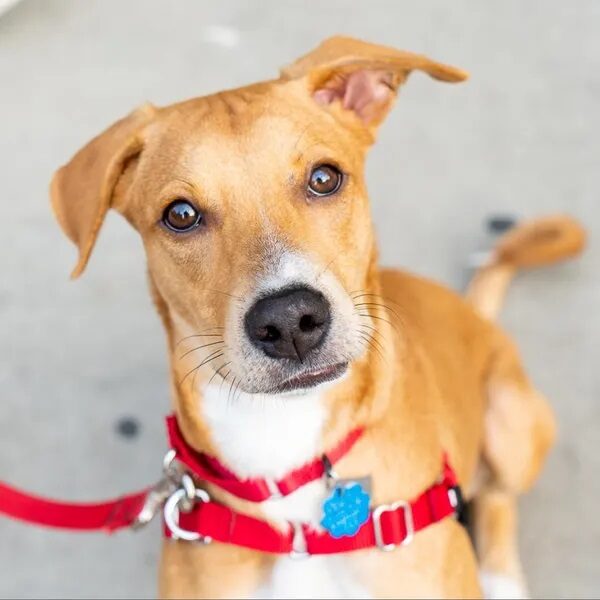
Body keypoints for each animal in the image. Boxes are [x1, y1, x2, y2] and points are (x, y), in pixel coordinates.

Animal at [50, 35, 584, 596]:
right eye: (180, 214)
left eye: (324, 178)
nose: (289, 321)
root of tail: (473, 311)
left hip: (512, 424)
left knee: (500, 496)